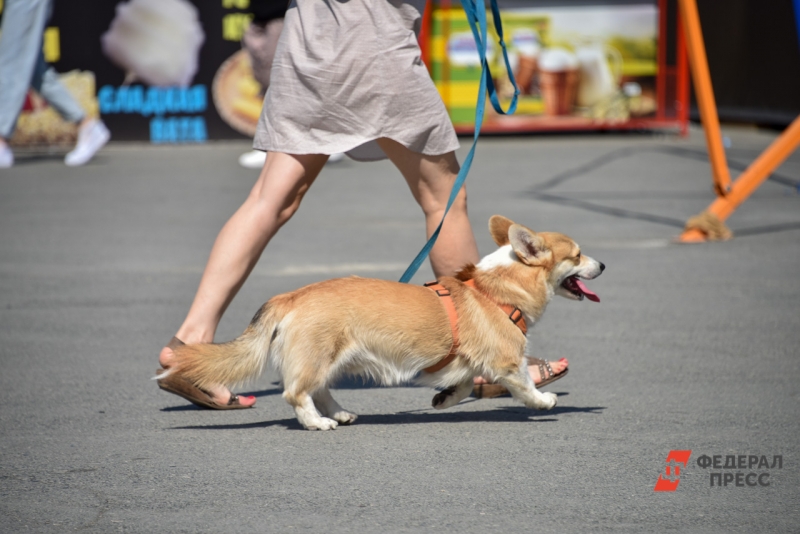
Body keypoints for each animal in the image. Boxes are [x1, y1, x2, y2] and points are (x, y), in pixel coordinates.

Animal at [159, 216, 604, 430]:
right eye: (578, 254)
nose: (603, 265)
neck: (497, 287)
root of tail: (291, 296)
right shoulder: (508, 362)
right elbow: (524, 385)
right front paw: (544, 401)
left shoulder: (466, 364)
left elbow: (460, 387)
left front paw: (442, 401)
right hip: (318, 358)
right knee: (296, 394)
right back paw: (319, 424)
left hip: (329, 361)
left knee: (318, 390)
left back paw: (340, 414)